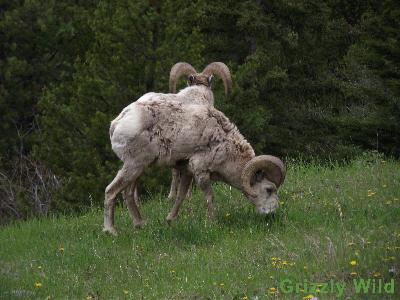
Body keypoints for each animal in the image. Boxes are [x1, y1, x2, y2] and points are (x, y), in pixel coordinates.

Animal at [103, 96, 284, 237]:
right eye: (269, 189)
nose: (272, 215)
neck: (225, 145)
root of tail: (117, 123)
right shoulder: (200, 171)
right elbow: (209, 197)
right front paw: (212, 223)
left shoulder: (187, 171)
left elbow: (180, 196)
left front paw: (170, 220)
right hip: (134, 166)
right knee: (111, 191)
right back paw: (111, 231)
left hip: (138, 168)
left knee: (127, 193)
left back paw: (140, 224)